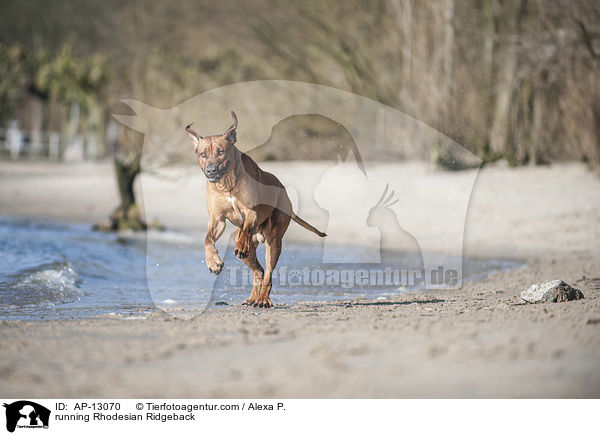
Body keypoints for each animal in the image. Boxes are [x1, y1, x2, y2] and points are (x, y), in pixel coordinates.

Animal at [188, 112, 328, 310]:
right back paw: (253, 298)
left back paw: (262, 299)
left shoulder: (251, 213)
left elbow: (247, 228)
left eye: (221, 152)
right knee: (259, 270)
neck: (227, 184)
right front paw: (213, 262)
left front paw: (240, 246)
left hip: (274, 240)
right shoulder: (217, 219)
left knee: (268, 270)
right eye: (203, 154)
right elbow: (207, 239)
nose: (211, 170)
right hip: (248, 247)